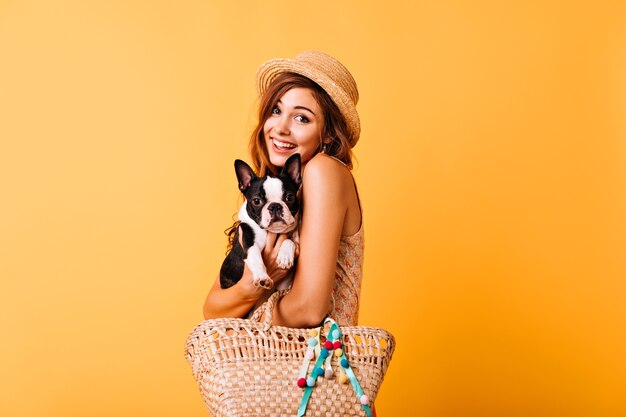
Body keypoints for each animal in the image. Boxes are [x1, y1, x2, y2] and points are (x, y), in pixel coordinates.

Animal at [219, 153, 300, 290]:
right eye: (257, 201)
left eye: (290, 197)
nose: (275, 206)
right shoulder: (249, 242)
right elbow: (256, 258)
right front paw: (263, 278)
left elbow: (290, 241)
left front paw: (285, 256)